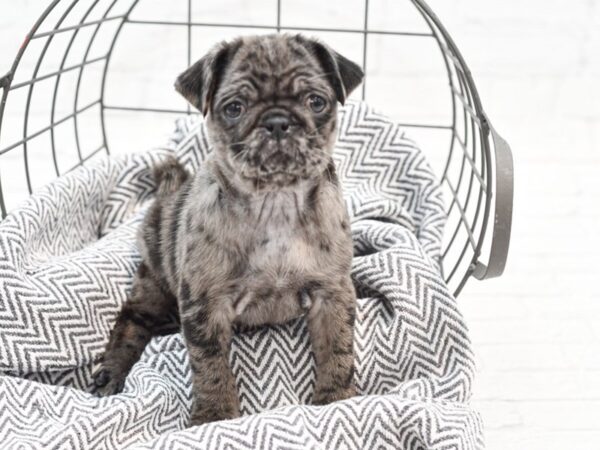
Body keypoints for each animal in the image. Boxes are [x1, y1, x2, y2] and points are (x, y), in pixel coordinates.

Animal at [94, 34, 364, 426]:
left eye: (315, 102)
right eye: (235, 108)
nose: (278, 121)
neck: (275, 203)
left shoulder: (332, 293)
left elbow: (338, 348)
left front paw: (336, 399)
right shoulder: (205, 303)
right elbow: (210, 364)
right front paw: (214, 415)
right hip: (154, 283)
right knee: (133, 318)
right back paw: (113, 370)